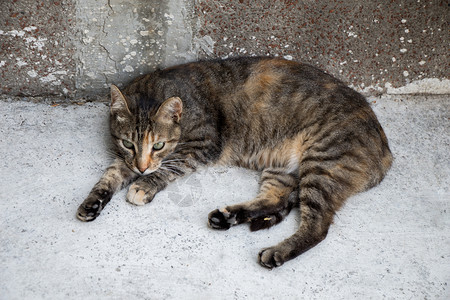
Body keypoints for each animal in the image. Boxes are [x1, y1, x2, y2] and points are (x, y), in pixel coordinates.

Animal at [75, 56, 392, 270]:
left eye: (159, 145)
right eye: (128, 143)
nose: (141, 168)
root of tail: (386, 152)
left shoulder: (201, 146)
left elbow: (167, 167)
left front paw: (145, 184)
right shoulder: (126, 158)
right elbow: (111, 174)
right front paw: (93, 201)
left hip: (323, 165)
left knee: (317, 226)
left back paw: (276, 252)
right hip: (283, 169)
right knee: (275, 198)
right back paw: (228, 216)